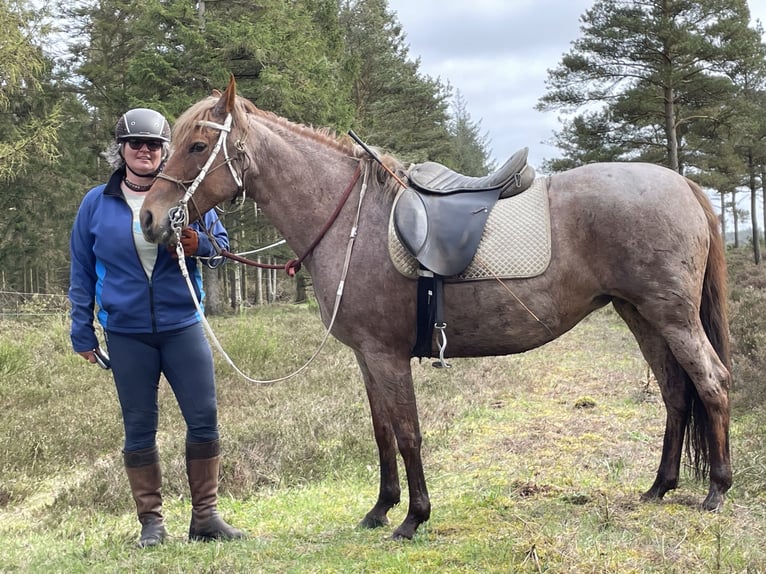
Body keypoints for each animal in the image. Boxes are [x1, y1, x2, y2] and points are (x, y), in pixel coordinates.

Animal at [141, 75, 736, 540]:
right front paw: (380, 509)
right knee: (676, 392)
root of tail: (683, 183)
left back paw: (717, 491)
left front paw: (414, 518)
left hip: (672, 317)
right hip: (640, 315)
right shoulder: (367, 357)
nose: (149, 219)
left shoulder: (386, 355)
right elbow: (382, 430)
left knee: (712, 382)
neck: (352, 222)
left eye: (198, 146)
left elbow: (408, 431)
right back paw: (659, 487)